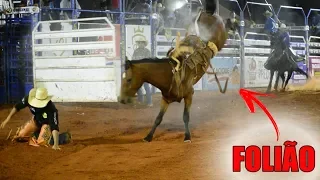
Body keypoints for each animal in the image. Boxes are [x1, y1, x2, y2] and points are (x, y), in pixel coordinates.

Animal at [119, 1, 228, 142]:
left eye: (129, 79)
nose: (121, 99)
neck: (170, 74)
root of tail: (208, 13)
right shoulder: (165, 99)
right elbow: (158, 118)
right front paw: (148, 136)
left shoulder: (189, 94)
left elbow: (185, 116)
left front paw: (187, 136)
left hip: (220, 38)